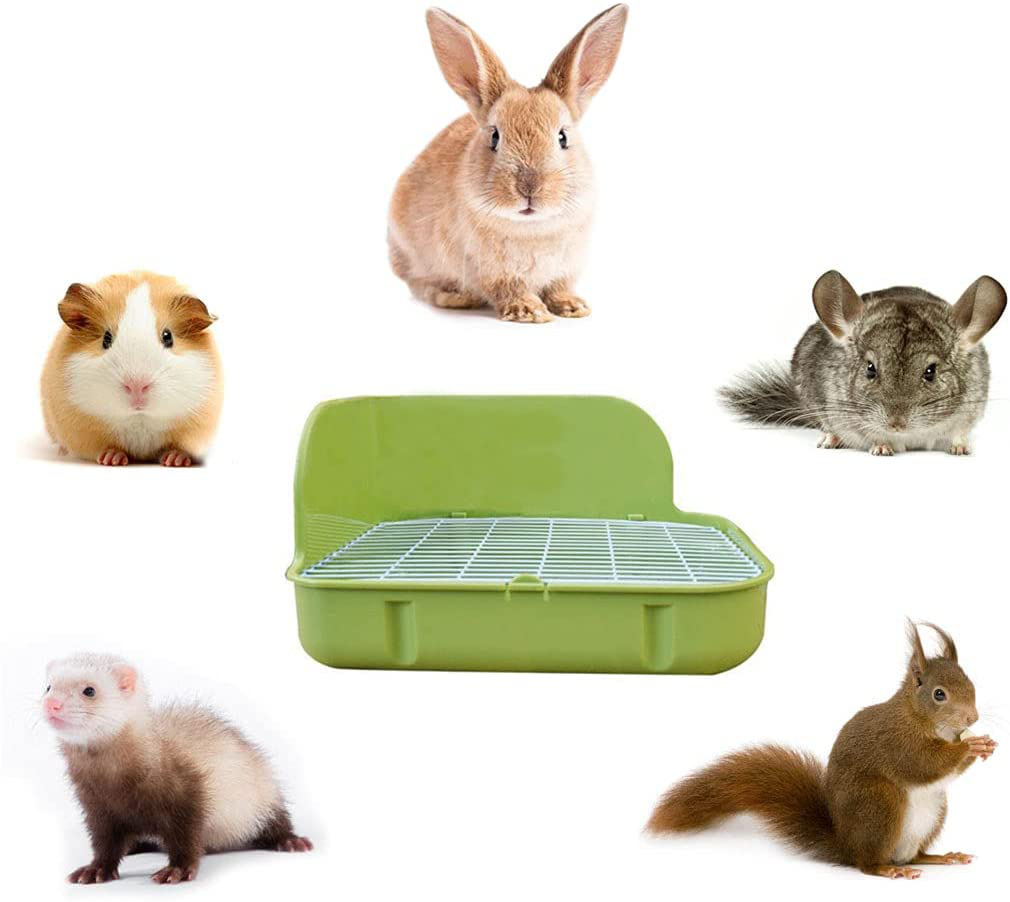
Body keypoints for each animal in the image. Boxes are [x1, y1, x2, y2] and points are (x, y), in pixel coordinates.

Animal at [388, 5, 629, 323]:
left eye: (562, 137)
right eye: (494, 136)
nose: (529, 188)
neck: (532, 228)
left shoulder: (564, 270)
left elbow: (559, 288)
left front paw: (573, 306)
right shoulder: (493, 273)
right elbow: (508, 289)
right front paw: (530, 311)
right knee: (420, 284)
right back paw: (455, 297)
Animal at [719, 271, 1006, 455]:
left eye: (930, 372)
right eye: (870, 368)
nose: (896, 424)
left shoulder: (971, 410)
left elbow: (960, 432)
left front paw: (961, 448)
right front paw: (881, 447)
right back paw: (831, 440)